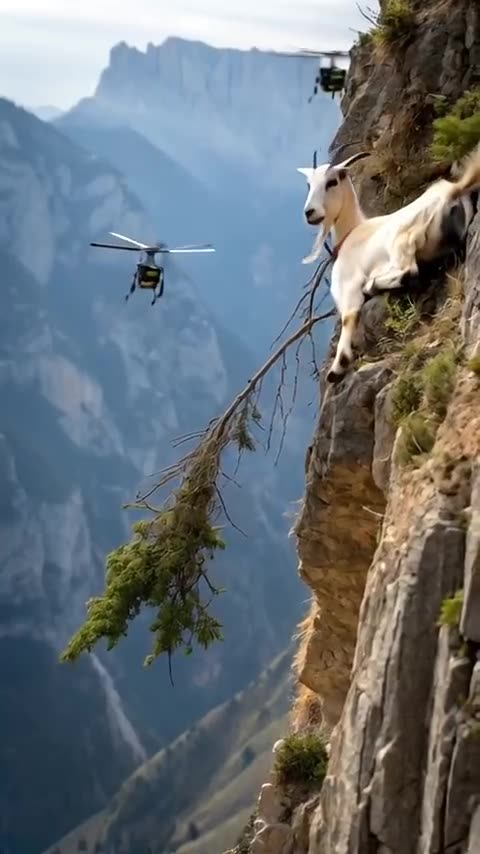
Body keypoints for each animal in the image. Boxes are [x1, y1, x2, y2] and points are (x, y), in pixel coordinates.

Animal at [297, 147, 480, 382]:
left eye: (332, 182)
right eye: (309, 184)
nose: (310, 212)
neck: (352, 232)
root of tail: (452, 192)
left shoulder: (347, 286)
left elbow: (349, 317)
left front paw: (338, 367)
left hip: (402, 242)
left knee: (409, 272)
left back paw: (372, 285)